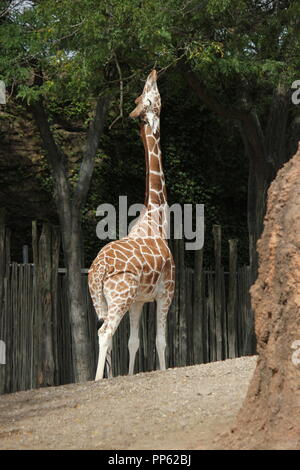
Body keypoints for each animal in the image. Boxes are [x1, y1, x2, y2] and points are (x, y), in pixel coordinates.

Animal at [88, 70, 175, 380]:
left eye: (140, 97)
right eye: (151, 96)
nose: (153, 72)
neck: (157, 219)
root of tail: (97, 271)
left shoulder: (140, 299)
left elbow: (134, 342)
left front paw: (129, 375)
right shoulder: (167, 291)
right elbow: (161, 341)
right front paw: (163, 371)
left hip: (103, 301)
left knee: (108, 334)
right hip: (120, 296)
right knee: (104, 332)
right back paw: (97, 381)